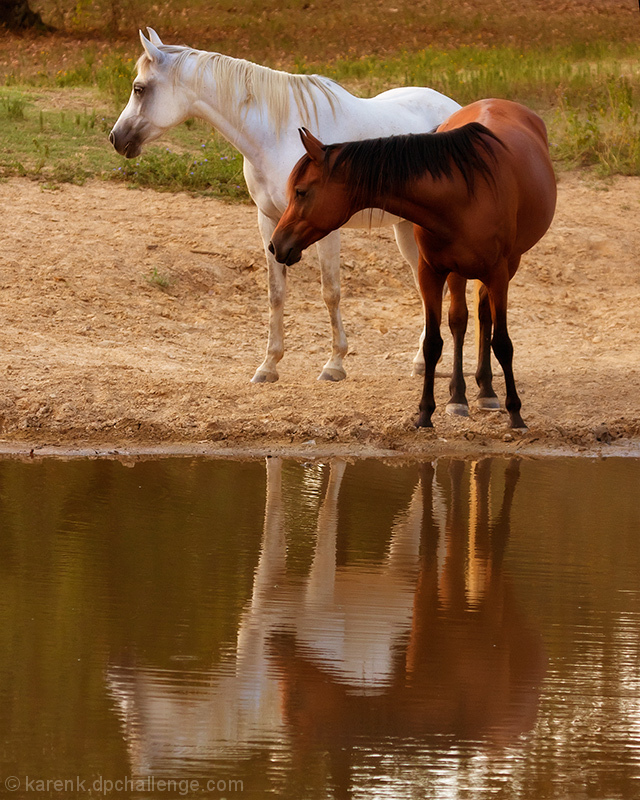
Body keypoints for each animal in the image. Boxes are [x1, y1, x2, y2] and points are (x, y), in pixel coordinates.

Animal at [111, 28, 460, 382]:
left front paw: (334, 364)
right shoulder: (269, 222)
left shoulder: (324, 227)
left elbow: (330, 291)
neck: (278, 136)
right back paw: (421, 361)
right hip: (406, 230)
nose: (116, 138)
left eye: (139, 89)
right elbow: (275, 293)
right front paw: (268, 366)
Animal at [268, 100, 556, 432]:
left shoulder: (498, 273)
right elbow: (433, 342)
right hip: (458, 272)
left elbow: (503, 343)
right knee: (462, 320)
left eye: (301, 191)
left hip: (506, 267)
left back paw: (487, 391)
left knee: (484, 317)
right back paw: (463, 395)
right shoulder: (430, 272)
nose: (275, 244)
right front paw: (425, 413)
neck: (462, 195)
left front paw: (516, 413)